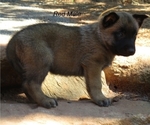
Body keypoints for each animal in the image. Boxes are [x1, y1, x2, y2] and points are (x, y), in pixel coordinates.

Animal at [6, 11, 148, 108]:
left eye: (134, 35)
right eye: (120, 33)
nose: (131, 51)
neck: (100, 38)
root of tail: (16, 37)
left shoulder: (89, 69)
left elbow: (90, 85)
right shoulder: (93, 65)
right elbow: (96, 84)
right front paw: (101, 99)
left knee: (26, 84)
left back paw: (35, 100)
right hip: (42, 61)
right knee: (31, 84)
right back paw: (45, 101)